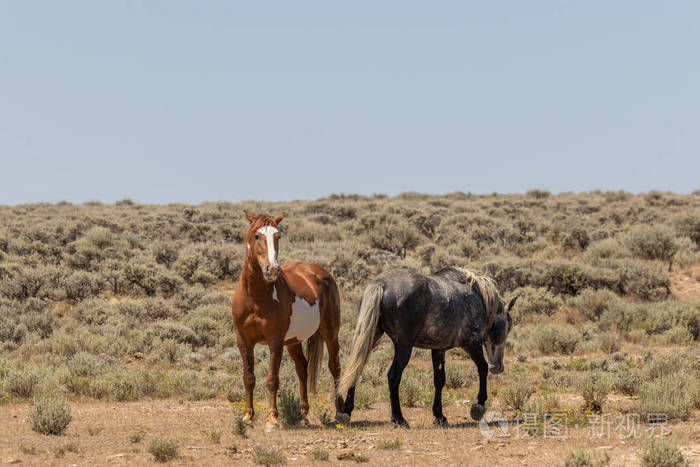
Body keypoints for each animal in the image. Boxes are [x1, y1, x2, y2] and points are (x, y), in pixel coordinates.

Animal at [232, 211, 348, 432]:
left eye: (278, 236)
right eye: (257, 236)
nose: (272, 270)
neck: (255, 297)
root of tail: (321, 272)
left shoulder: (275, 341)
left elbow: (272, 379)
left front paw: (272, 420)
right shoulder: (243, 340)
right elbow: (248, 377)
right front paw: (248, 417)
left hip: (330, 332)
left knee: (334, 367)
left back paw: (341, 412)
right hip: (293, 341)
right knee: (302, 368)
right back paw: (303, 413)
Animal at [336, 266, 516, 428]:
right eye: (508, 326)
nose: (498, 367)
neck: (475, 298)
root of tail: (382, 283)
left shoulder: (438, 350)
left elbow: (439, 380)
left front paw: (440, 416)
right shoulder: (472, 345)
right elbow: (482, 368)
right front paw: (478, 406)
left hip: (371, 336)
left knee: (356, 367)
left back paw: (346, 411)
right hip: (404, 346)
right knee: (393, 376)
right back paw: (398, 418)